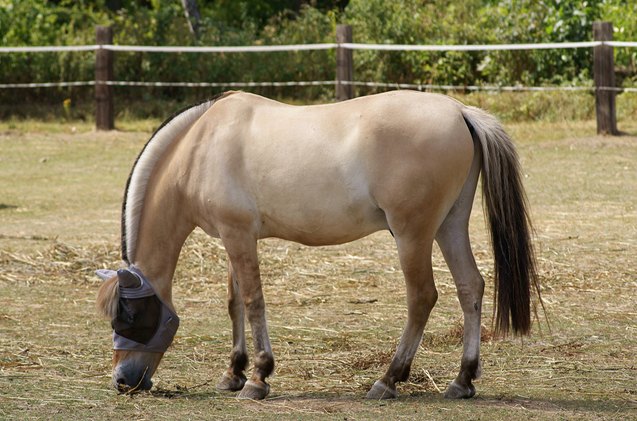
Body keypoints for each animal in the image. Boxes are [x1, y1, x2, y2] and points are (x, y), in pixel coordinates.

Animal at [97, 90, 540, 398]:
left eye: (129, 315)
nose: (122, 380)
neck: (201, 147)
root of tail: (459, 112)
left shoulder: (238, 236)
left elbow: (254, 302)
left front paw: (259, 377)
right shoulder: (234, 237)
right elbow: (235, 301)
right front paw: (233, 373)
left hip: (412, 235)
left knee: (422, 297)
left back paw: (388, 380)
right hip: (449, 226)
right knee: (470, 287)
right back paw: (462, 379)